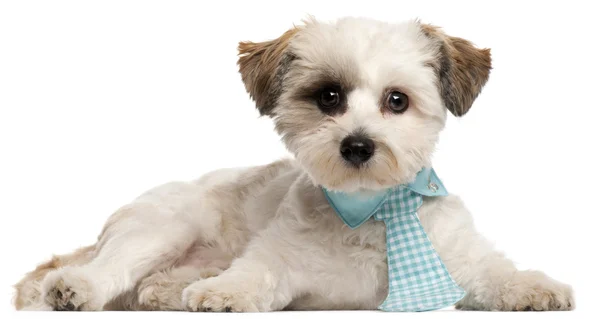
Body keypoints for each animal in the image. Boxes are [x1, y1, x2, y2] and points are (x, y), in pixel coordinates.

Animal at [14, 16, 576, 312]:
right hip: (162, 227)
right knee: (111, 267)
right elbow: (253, 275)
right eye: (328, 96)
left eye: (397, 100)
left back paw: (168, 289)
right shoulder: (280, 262)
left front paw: (533, 286)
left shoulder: (459, 259)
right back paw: (78, 287)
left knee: (151, 284)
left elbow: (495, 272)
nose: (357, 146)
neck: (371, 210)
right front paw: (224, 293)